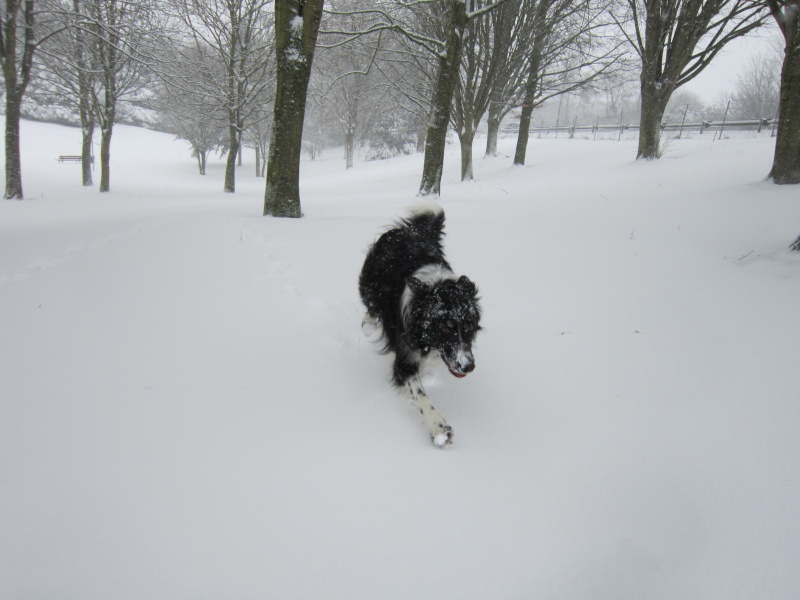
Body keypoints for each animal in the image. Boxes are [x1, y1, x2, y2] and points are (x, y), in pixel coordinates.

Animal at [358, 205, 482, 446]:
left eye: (470, 326)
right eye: (444, 329)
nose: (468, 367)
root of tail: (410, 231)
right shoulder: (405, 353)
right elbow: (419, 392)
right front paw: (439, 429)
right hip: (369, 283)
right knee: (371, 305)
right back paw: (367, 324)